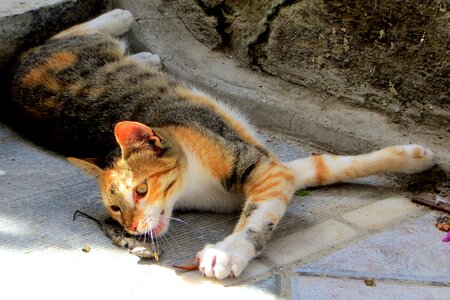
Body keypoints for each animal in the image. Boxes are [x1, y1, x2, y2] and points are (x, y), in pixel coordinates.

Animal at [8, 9, 434, 280]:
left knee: (66, 33)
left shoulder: (268, 169)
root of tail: (12, 81)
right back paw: (137, 42)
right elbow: (323, 169)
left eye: (141, 190)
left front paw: (226, 253)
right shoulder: (280, 171)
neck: (195, 184)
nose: (130, 227)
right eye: (115, 208)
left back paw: (124, 22)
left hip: (77, 49)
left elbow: (268, 211)